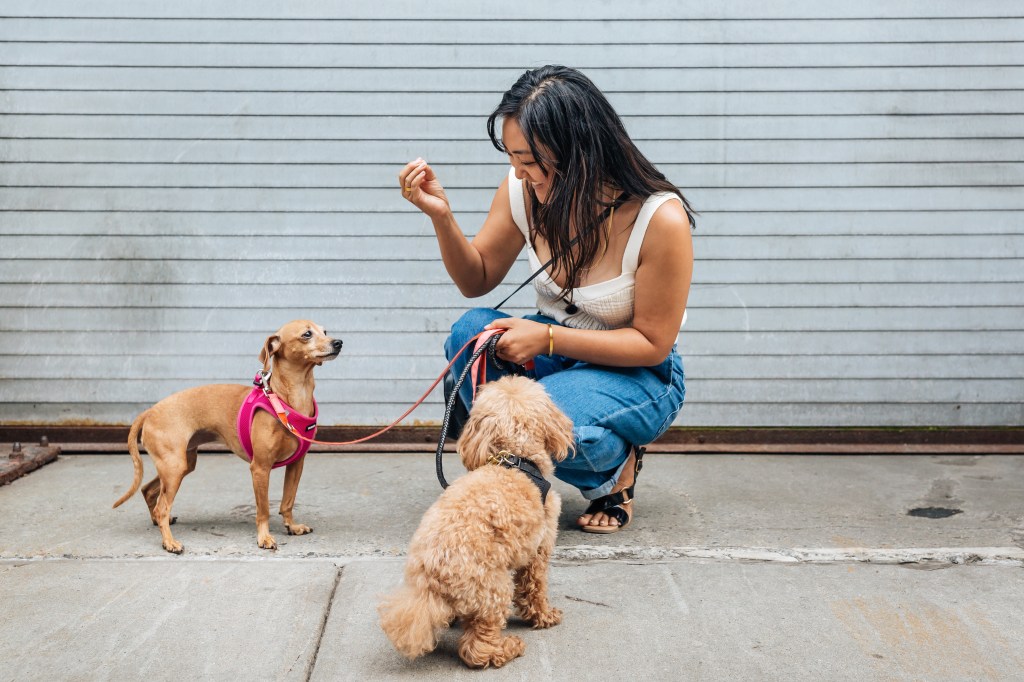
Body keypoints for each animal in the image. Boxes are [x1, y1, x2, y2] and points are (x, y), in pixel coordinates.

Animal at [114, 319, 342, 552]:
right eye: (307, 334)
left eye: (325, 331)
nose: (338, 342)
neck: (286, 398)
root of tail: (149, 411)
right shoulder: (260, 468)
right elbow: (263, 510)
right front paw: (264, 538)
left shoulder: (297, 465)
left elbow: (288, 501)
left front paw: (292, 526)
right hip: (174, 468)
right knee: (162, 506)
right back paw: (169, 542)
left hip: (180, 465)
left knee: (148, 491)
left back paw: (160, 525)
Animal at [380, 374, 577, 667]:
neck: (514, 459)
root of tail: (431, 578)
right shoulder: (538, 551)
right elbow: (535, 589)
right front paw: (544, 616)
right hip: (493, 589)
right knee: (476, 648)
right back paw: (507, 648)